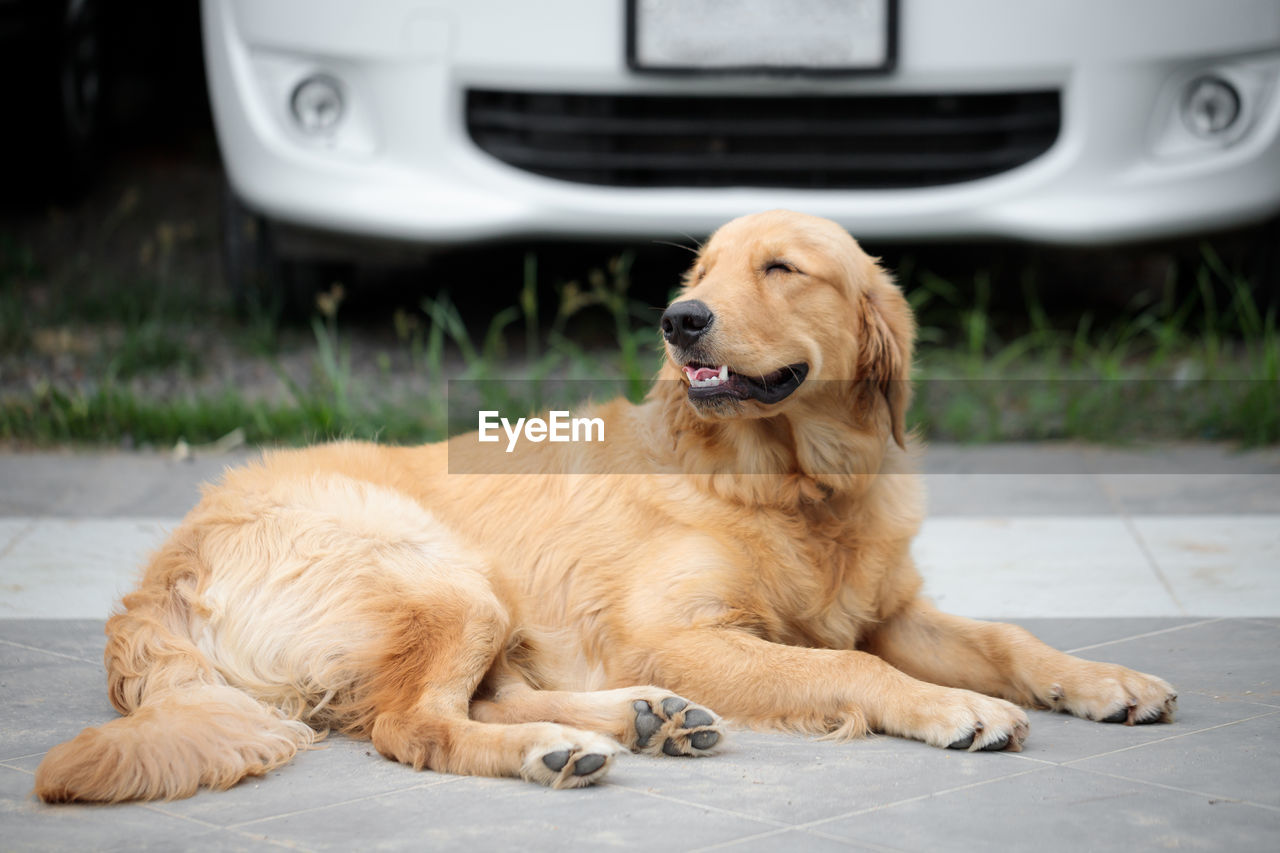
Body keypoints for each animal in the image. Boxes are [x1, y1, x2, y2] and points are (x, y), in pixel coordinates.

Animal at [37, 208, 1177, 799]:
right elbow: (850, 667)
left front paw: (1104, 680)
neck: (794, 483)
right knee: (414, 724)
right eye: (702, 269)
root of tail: (154, 580)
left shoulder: (891, 609)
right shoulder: (678, 630)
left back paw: (640, 720)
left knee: (467, 698)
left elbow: (1004, 638)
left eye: (781, 267)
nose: (682, 318)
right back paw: (561, 746)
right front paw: (953, 709)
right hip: (441, 571)